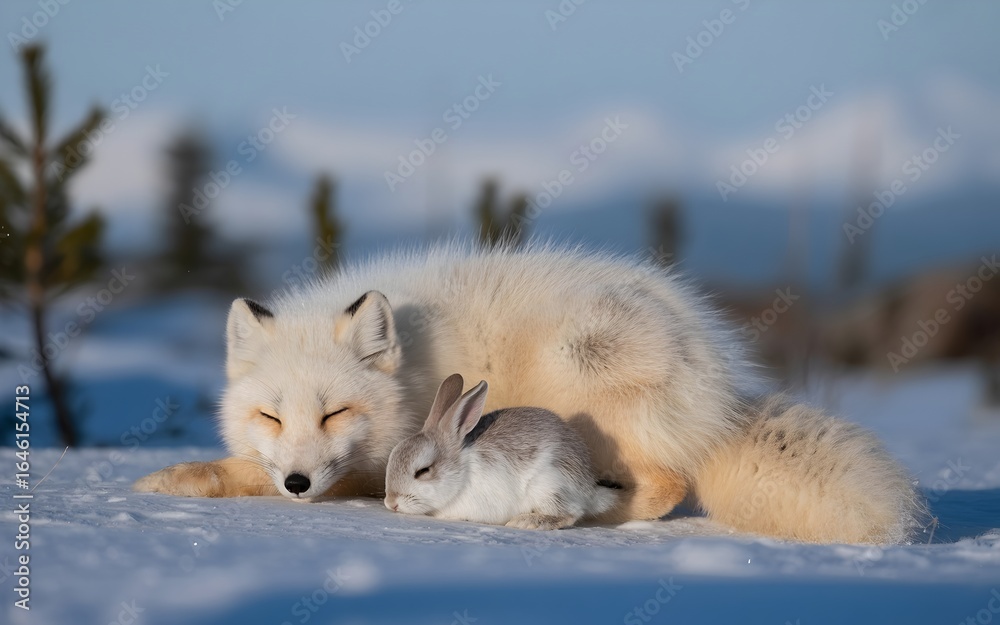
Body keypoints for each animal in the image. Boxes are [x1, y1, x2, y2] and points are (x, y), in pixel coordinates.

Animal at [384, 373, 617, 530]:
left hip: (549, 485)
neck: (462, 471)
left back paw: (525, 522)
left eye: (423, 471)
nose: (390, 503)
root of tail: (589, 490)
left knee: (570, 514)